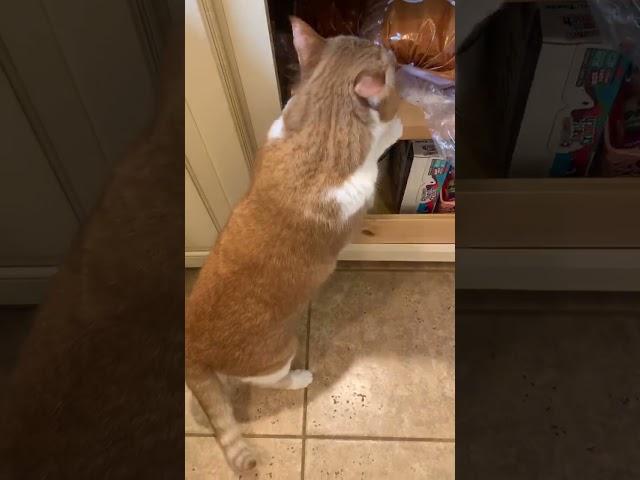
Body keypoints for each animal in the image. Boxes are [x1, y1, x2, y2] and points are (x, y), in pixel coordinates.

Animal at [185, 15, 402, 472]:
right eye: (386, 57)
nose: (391, 49)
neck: (318, 124)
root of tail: (193, 350)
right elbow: (383, 134)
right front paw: (395, 121)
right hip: (278, 353)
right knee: (277, 380)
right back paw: (301, 377)